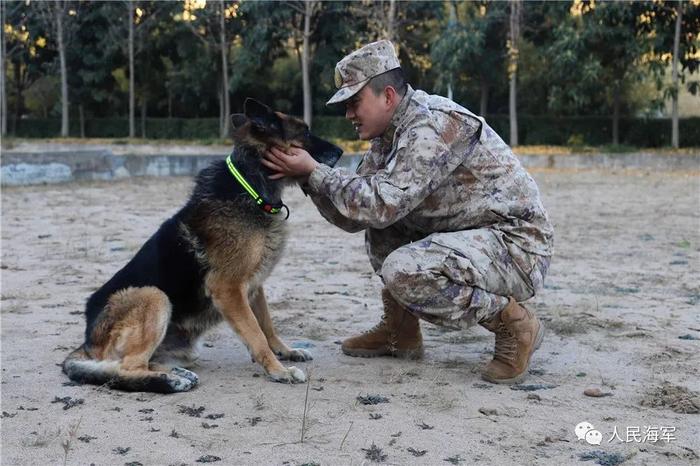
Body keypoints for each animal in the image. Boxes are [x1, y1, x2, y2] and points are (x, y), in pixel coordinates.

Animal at [63, 98, 342, 394]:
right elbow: (256, 333)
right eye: (305, 132)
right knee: (127, 367)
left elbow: (267, 325)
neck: (250, 186)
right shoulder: (228, 288)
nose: (341, 150)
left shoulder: (254, 287)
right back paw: (170, 380)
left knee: (137, 363)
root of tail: (87, 343)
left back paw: (176, 373)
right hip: (153, 295)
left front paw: (285, 351)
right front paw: (278, 369)